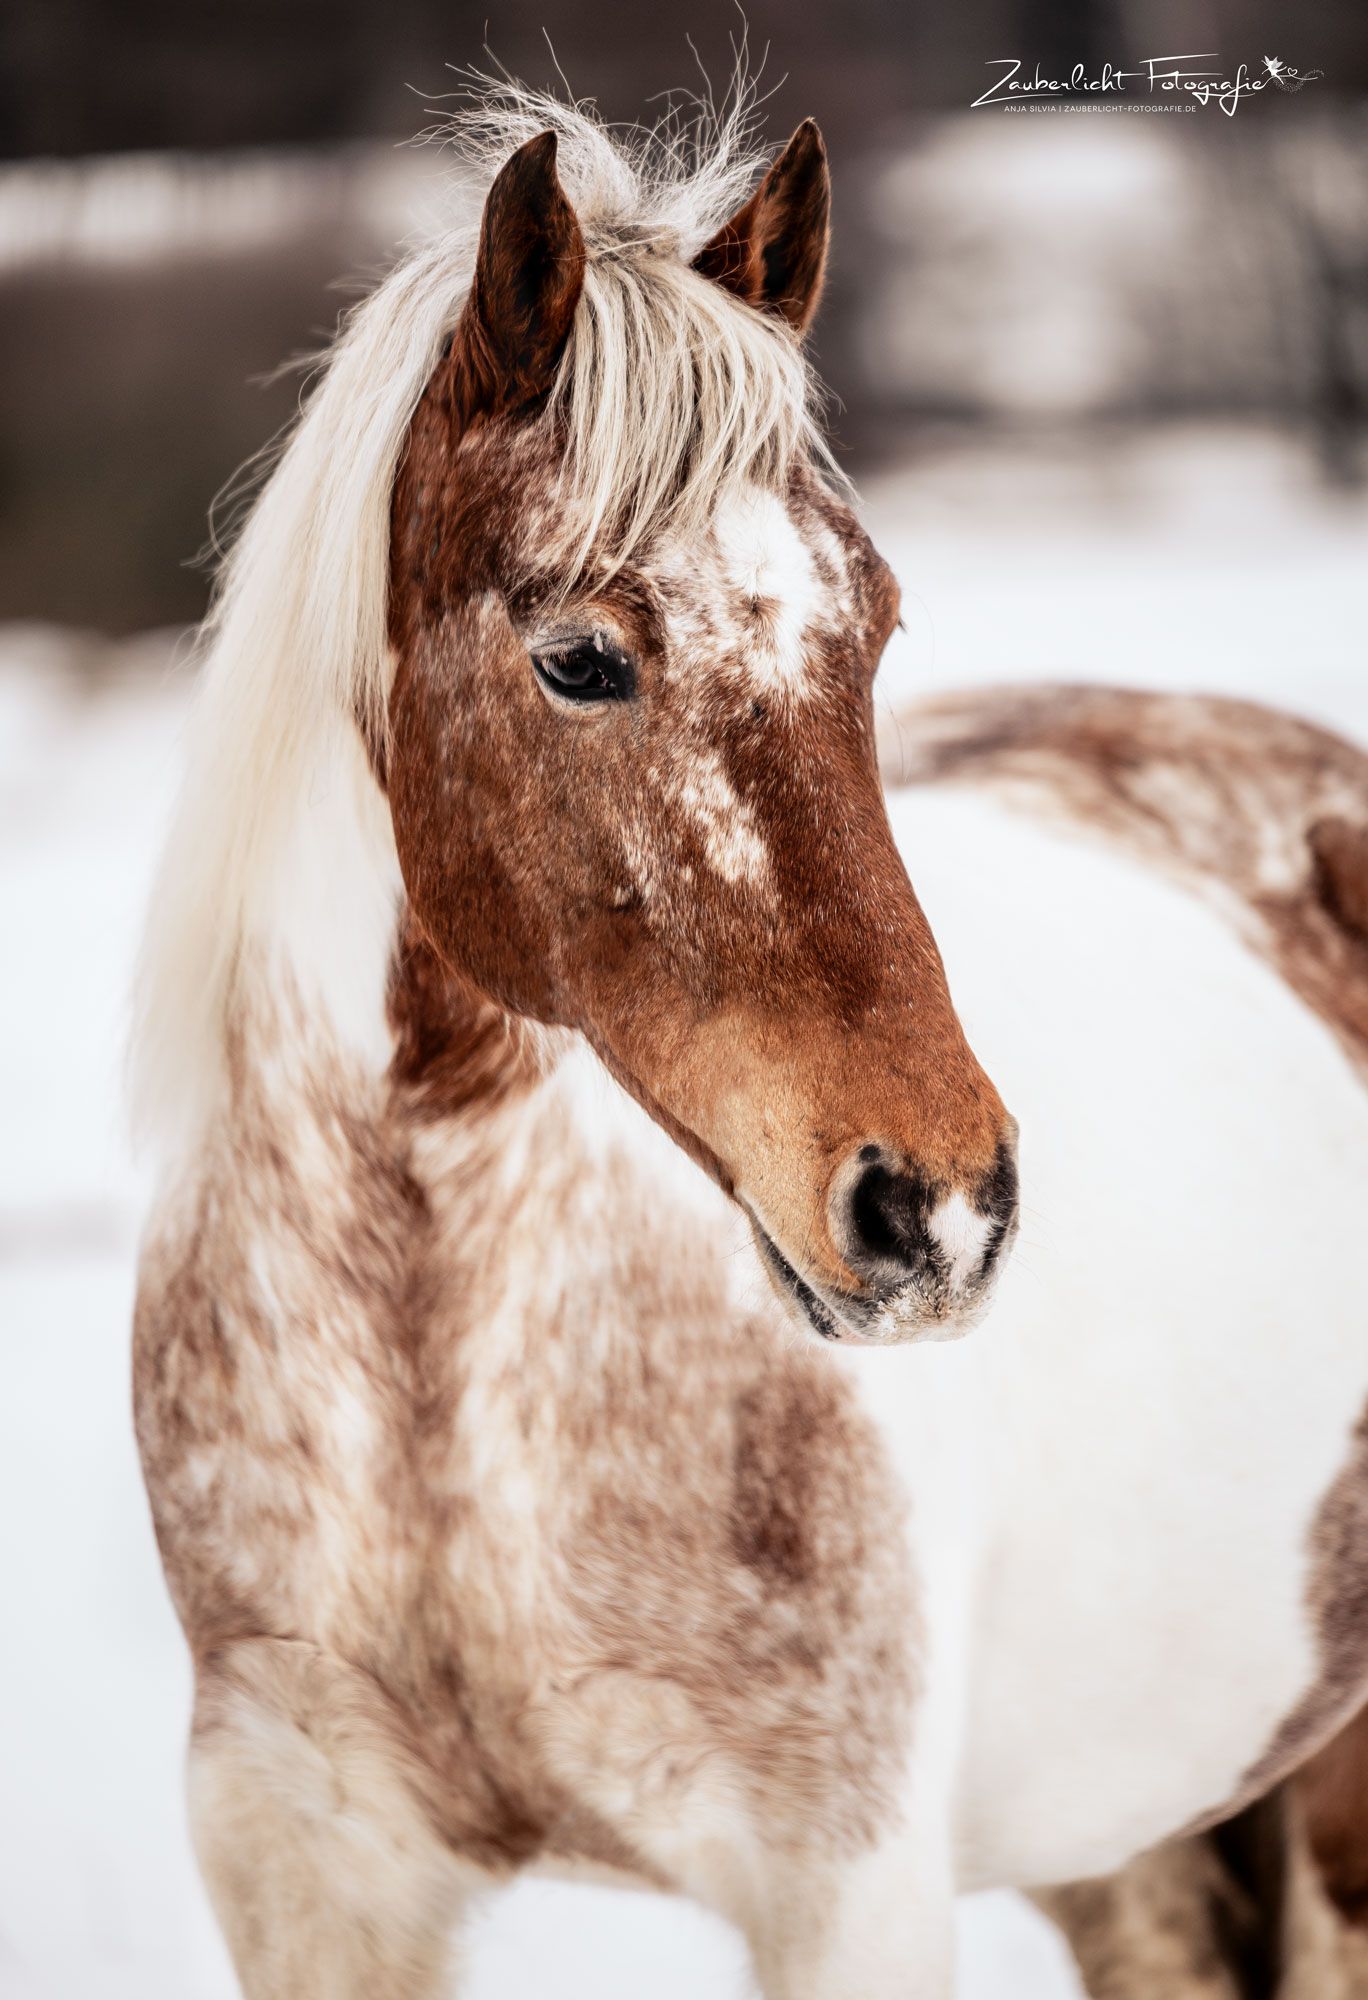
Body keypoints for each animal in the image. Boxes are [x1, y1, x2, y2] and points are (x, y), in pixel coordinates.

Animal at [134, 94, 1368, 2000]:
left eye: (874, 628)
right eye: (579, 660)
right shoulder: (304, 1864)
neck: (435, 1379)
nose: (940, 1211)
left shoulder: (847, 1884)